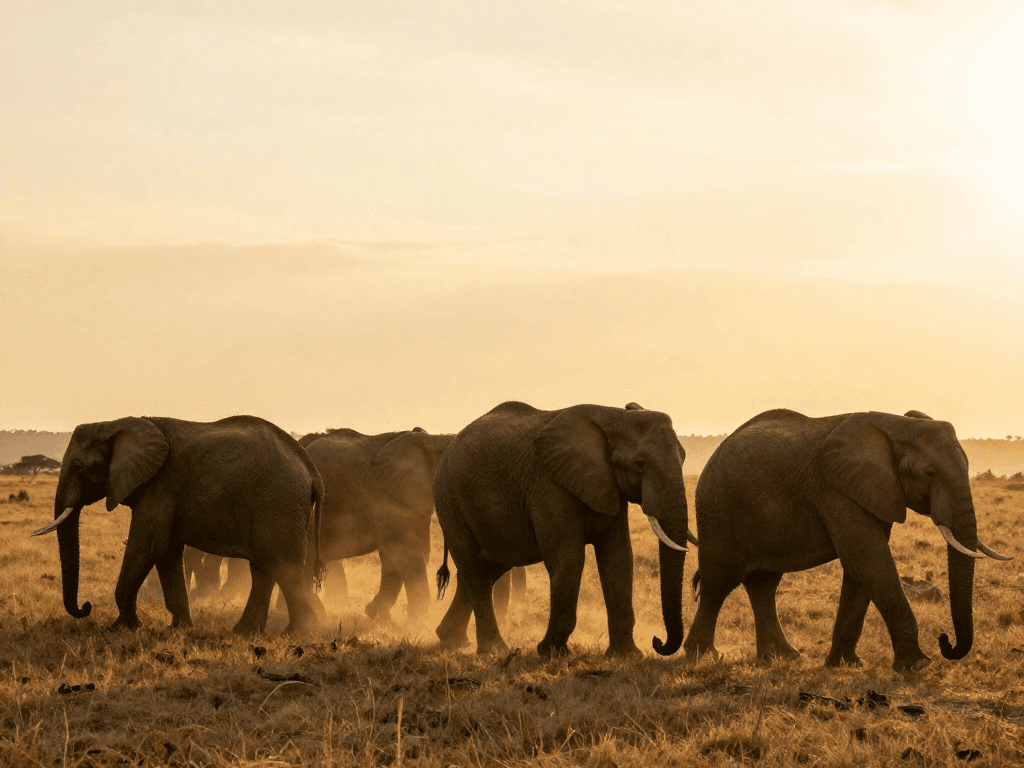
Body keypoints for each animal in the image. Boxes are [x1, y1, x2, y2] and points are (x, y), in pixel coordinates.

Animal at [31, 415, 326, 635]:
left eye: (77, 466)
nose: (85, 607)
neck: (115, 423)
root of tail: (312, 472)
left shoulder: (159, 485)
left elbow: (146, 546)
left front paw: (120, 629)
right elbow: (166, 551)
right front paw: (179, 629)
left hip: (279, 503)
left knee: (283, 567)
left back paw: (300, 633)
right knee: (264, 569)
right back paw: (245, 633)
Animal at [298, 426, 526, 626]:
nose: (505, 621)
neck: (434, 441)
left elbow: (410, 554)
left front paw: (377, 614)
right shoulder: (387, 496)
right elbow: (407, 552)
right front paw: (418, 623)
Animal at [433, 401, 696, 658]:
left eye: (684, 457)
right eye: (639, 464)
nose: (657, 641)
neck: (611, 417)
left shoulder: (609, 484)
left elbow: (618, 559)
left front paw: (627, 656)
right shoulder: (548, 483)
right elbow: (569, 558)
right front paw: (550, 652)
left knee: (487, 568)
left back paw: (451, 640)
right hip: (450, 502)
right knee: (475, 571)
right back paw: (494, 651)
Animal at [683, 409, 1013, 672]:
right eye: (929, 473)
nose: (945, 640)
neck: (896, 425)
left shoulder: (871, 490)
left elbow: (860, 568)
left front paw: (845, 665)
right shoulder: (836, 490)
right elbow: (870, 559)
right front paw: (918, 665)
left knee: (763, 584)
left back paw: (784, 657)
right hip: (718, 508)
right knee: (719, 581)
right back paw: (702, 657)